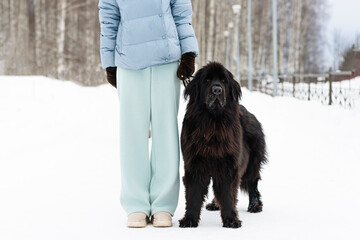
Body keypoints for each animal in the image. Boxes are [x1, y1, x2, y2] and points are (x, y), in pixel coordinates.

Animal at [179, 61, 268, 228]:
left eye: (224, 81)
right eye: (207, 80)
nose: (217, 90)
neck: (213, 123)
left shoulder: (228, 164)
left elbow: (227, 194)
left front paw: (231, 220)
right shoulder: (194, 163)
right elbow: (193, 194)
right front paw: (189, 220)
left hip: (252, 162)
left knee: (252, 183)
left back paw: (254, 205)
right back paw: (214, 204)